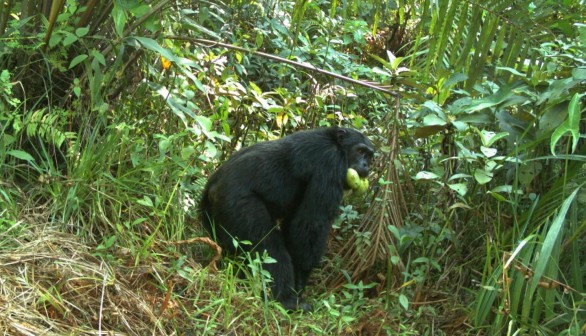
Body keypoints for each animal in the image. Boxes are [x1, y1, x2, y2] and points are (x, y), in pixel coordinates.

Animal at [198, 126, 372, 312]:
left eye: (370, 156)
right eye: (360, 151)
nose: (366, 165)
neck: (337, 145)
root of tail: (212, 187)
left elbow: (294, 223)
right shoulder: (330, 163)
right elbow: (311, 224)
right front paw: (301, 280)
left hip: (211, 215)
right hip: (238, 205)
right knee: (269, 247)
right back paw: (286, 299)